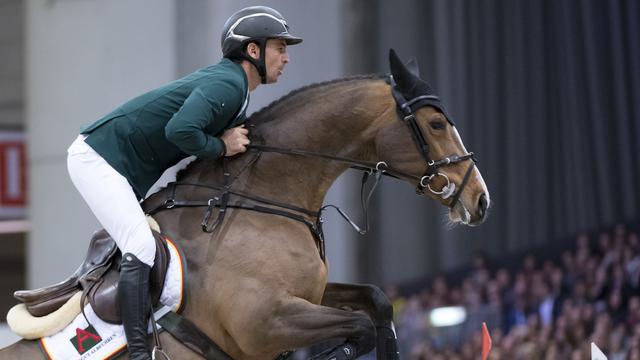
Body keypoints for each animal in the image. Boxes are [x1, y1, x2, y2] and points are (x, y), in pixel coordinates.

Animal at [1, 50, 490, 360]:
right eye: (436, 123)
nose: (480, 200)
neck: (263, 200)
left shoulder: (307, 295)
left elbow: (378, 303)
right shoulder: (266, 321)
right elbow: (362, 327)